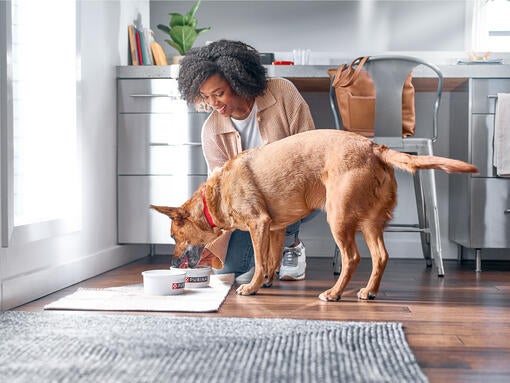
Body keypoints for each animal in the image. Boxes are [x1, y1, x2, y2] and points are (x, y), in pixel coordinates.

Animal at [152, 130, 478, 302]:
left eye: (173, 236)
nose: (171, 264)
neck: (215, 196)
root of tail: (375, 147)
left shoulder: (259, 224)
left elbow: (259, 260)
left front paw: (252, 287)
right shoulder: (274, 228)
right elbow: (270, 259)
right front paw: (267, 280)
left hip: (339, 217)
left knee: (352, 258)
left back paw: (333, 293)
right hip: (370, 223)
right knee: (381, 256)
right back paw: (368, 291)